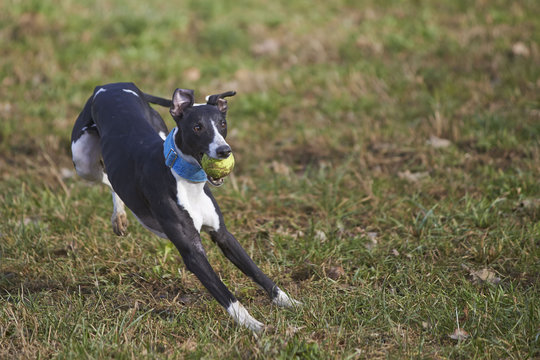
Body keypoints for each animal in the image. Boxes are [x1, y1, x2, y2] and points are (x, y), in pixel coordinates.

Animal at [69, 83, 300, 330]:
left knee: (112, 179)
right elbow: (225, 295)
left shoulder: (223, 235)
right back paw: (119, 215)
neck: (186, 180)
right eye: (197, 127)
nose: (224, 151)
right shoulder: (193, 252)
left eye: (223, 124)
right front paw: (254, 325)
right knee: (107, 177)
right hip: (83, 162)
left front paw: (288, 302)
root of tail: (112, 85)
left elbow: (257, 272)